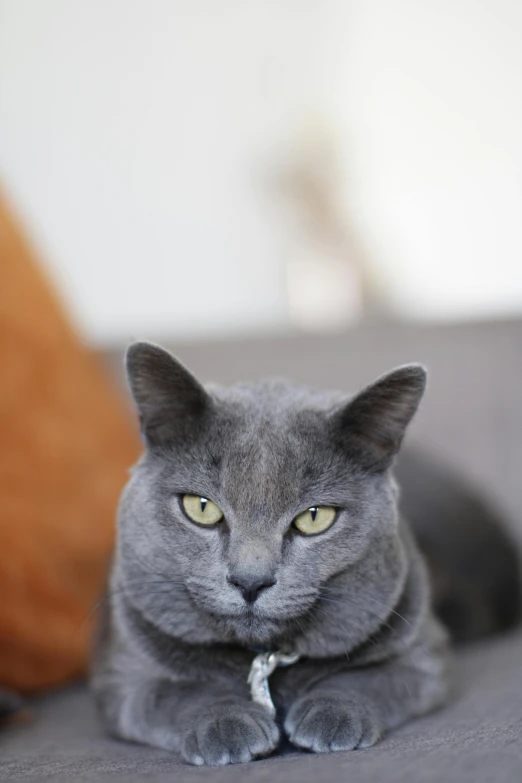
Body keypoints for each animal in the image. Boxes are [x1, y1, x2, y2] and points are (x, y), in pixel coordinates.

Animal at [91, 344, 516, 764]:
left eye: (315, 517)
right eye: (201, 508)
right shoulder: (123, 677)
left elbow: (371, 677)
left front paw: (331, 715)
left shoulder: (424, 656)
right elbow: (174, 693)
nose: (250, 581)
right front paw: (226, 723)